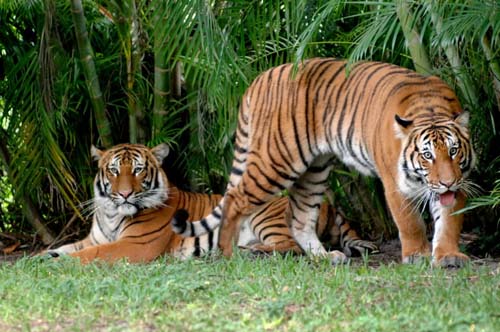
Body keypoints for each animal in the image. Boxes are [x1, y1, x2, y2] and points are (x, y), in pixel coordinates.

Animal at [46, 144, 376, 264]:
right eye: (114, 171)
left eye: (138, 170)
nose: (125, 194)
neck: (113, 215)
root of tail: (331, 204)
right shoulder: (93, 237)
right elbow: (66, 247)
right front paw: (44, 257)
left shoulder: (135, 245)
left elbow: (90, 255)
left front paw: (59, 264)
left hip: (265, 216)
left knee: (292, 246)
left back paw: (252, 250)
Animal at [173, 58, 476, 268]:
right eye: (427, 155)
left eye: (454, 150)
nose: (446, 182)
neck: (430, 108)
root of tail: (260, 78)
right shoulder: (396, 184)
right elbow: (410, 223)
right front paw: (417, 256)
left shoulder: (459, 181)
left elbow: (450, 221)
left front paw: (449, 256)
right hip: (276, 161)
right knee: (236, 198)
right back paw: (227, 255)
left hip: (314, 169)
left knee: (298, 218)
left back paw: (325, 257)